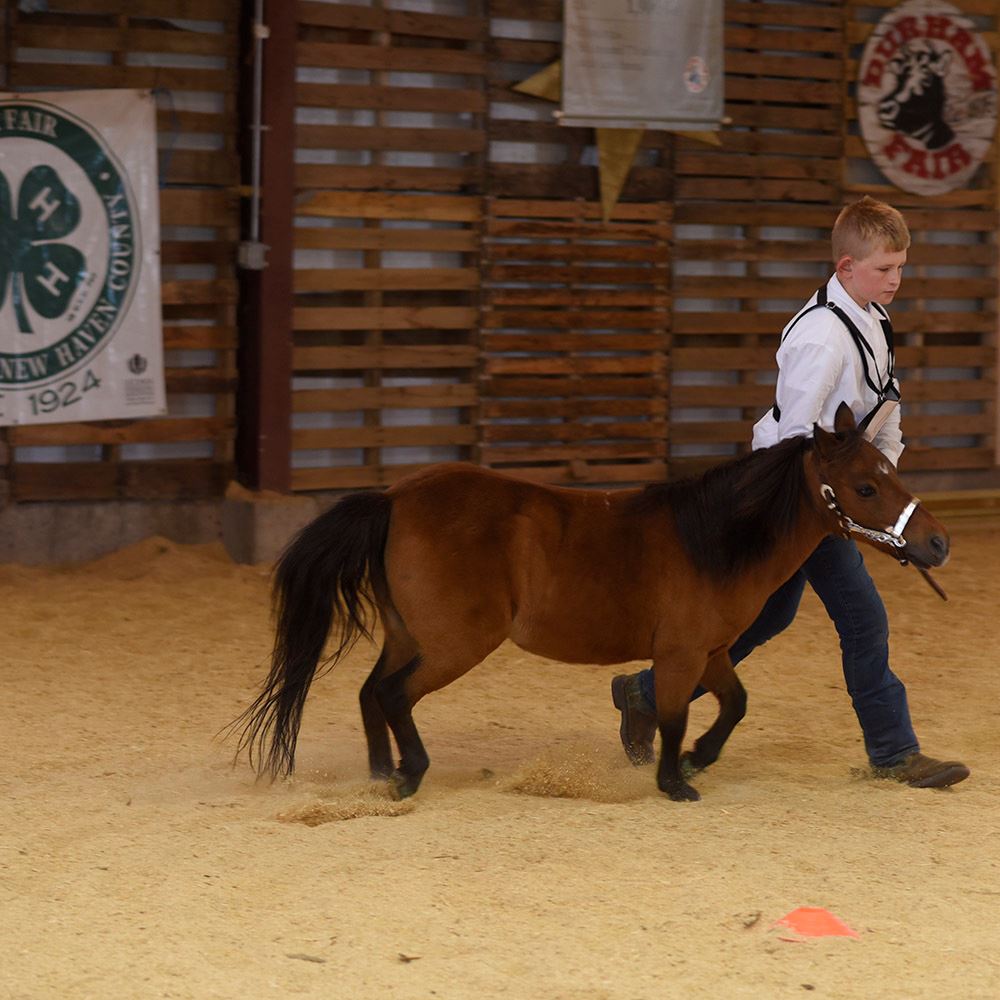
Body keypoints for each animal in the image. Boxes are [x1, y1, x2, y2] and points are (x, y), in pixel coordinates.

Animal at [234, 402, 944, 800]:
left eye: (892, 472)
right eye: (865, 486)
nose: (936, 543)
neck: (713, 537)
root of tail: (393, 498)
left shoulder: (710, 651)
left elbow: (734, 705)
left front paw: (697, 760)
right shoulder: (681, 654)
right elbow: (674, 714)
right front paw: (673, 781)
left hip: (410, 635)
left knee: (369, 693)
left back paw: (382, 773)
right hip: (454, 644)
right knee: (391, 695)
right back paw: (408, 774)